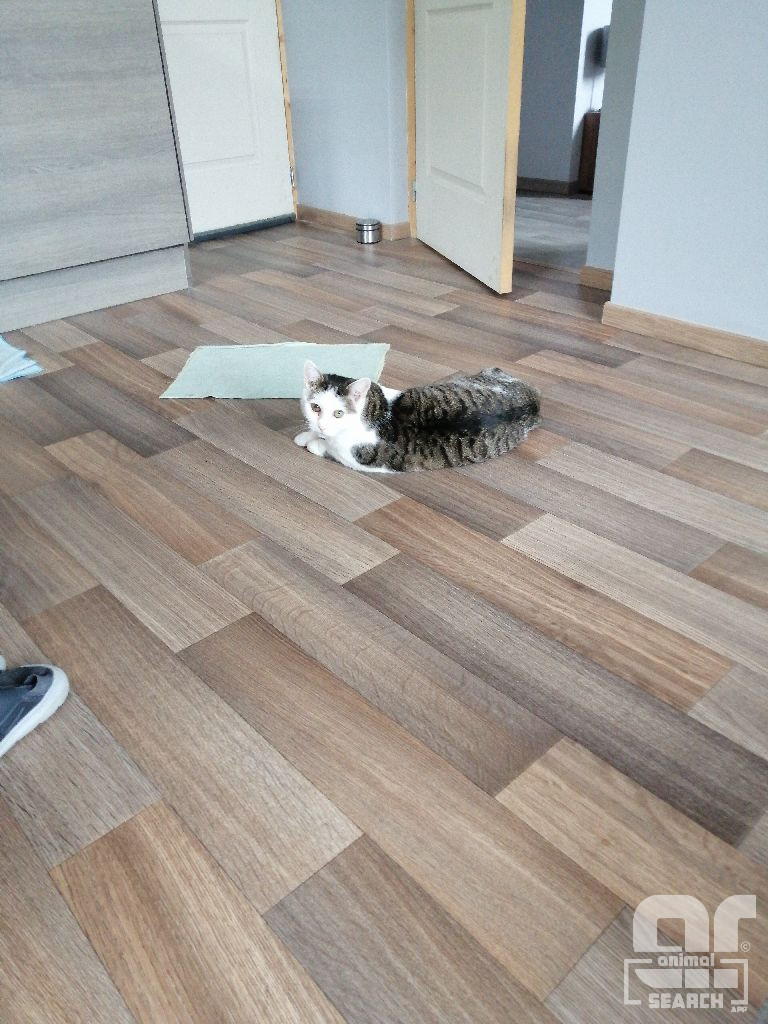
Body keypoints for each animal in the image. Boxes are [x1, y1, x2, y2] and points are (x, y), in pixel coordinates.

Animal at [294, 360, 540, 473]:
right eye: (315, 408)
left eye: (339, 413)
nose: (322, 426)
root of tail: (534, 400)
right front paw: (308, 434)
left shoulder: (358, 458)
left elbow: (327, 447)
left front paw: (314, 442)